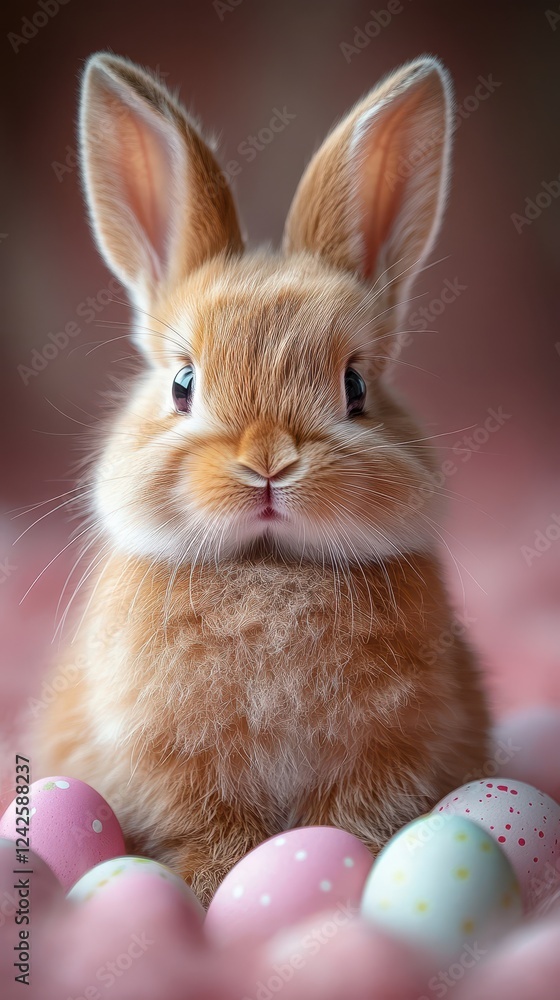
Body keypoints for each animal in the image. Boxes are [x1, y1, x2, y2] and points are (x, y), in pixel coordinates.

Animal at [39, 52, 491, 906]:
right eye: (182, 384)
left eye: (356, 387)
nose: (268, 462)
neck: (270, 568)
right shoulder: (178, 768)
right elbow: (212, 826)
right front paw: (214, 885)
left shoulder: (382, 757)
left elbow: (349, 820)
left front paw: (334, 870)